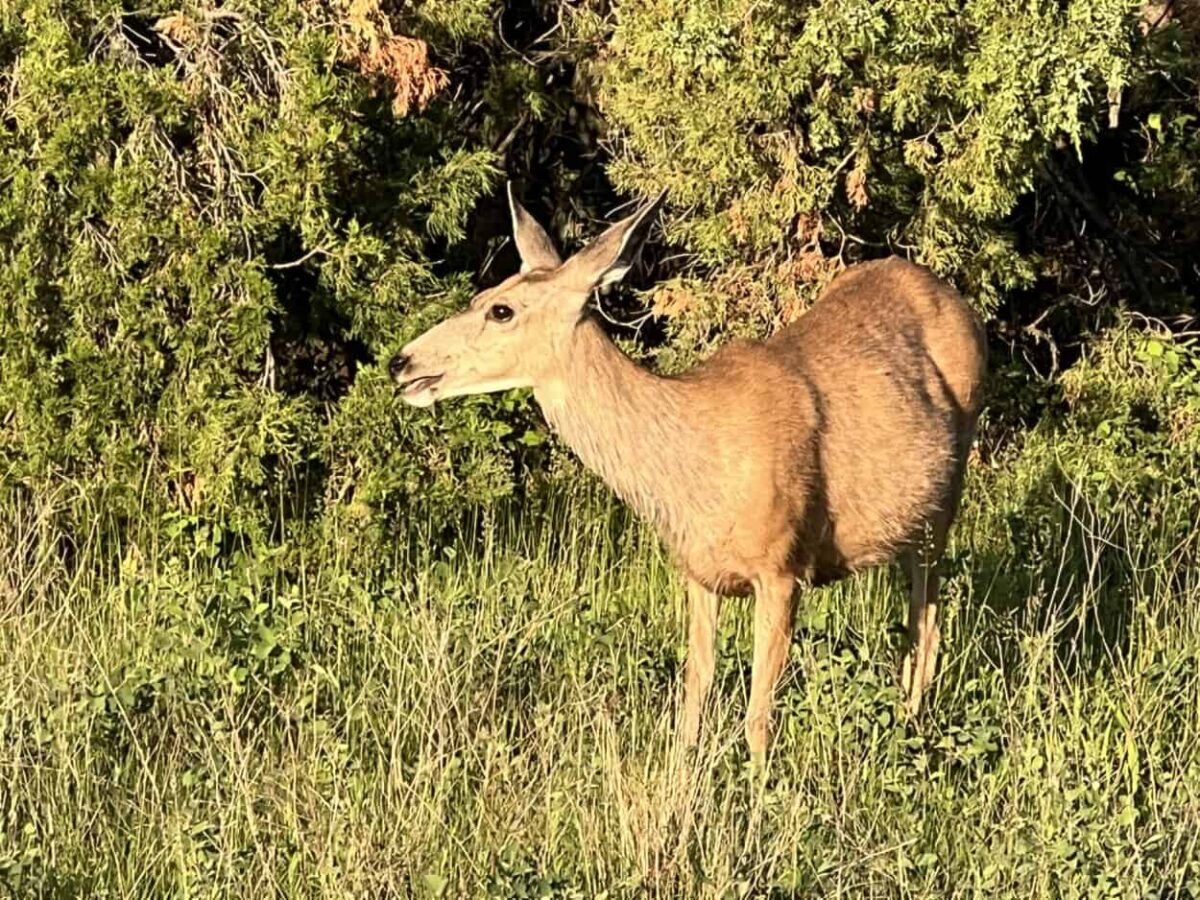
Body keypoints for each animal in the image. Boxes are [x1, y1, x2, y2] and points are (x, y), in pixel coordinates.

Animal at [390, 185, 987, 756]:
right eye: (479, 298)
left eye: (502, 311)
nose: (402, 362)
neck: (689, 473)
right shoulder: (697, 572)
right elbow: (694, 693)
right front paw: (682, 780)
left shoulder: (782, 566)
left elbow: (757, 716)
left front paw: (758, 791)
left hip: (945, 498)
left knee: (928, 620)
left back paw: (913, 726)